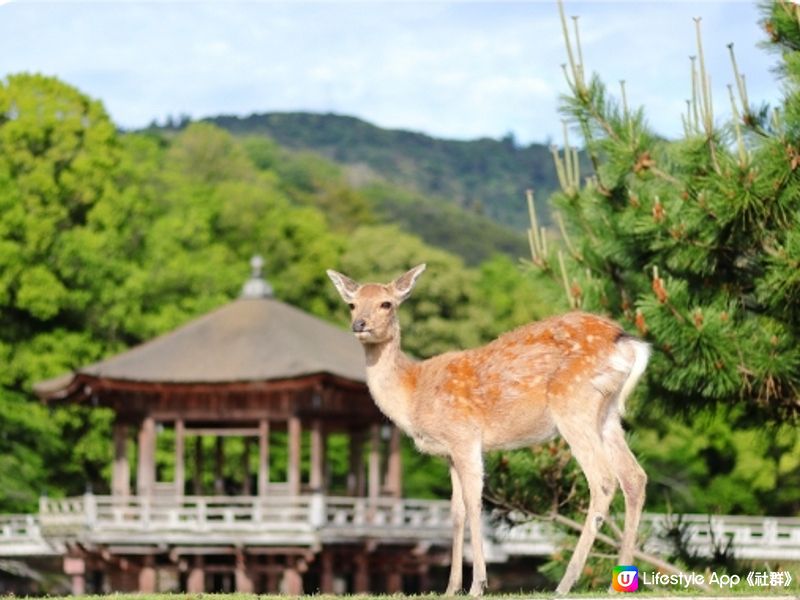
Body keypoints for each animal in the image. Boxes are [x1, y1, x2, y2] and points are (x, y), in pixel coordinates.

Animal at [324, 264, 648, 596]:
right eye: (352, 304)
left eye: (386, 303)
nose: (359, 324)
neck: (413, 394)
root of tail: (625, 341)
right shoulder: (449, 453)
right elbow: (456, 512)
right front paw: (451, 587)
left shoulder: (464, 436)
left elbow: (473, 503)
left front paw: (477, 584)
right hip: (608, 413)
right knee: (634, 476)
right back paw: (620, 579)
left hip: (573, 404)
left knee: (604, 479)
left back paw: (566, 582)